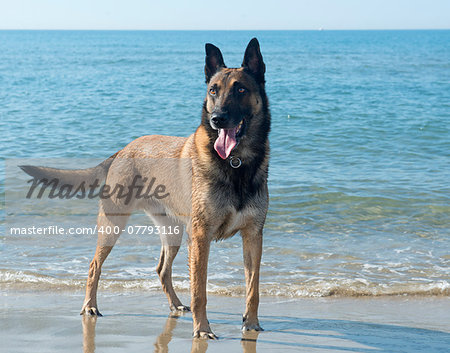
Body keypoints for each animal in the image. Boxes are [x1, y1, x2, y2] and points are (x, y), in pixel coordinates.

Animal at [21, 37, 270, 336]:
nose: (217, 119)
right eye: (213, 91)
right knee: (94, 265)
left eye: (241, 89)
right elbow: (200, 290)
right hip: (113, 225)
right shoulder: (200, 238)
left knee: (162, 269)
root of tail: (124, 149)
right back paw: (90, 306)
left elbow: (253, 287)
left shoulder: (253, 236)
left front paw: (251, 323)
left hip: (173, 233)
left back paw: (175, 305)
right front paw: (202, 329)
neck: (236, 162)